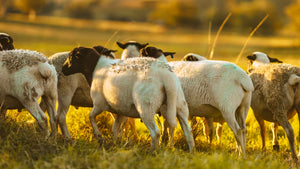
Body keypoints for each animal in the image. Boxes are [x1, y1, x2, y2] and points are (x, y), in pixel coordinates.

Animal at [62, 46, 196, 152]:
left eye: (71, 57)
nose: (63, 69)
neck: (95, 68)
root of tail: (166, 77)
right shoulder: (121, 110)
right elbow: (115, 129)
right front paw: (116, 144)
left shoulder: (99, 104)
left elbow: (91, 117)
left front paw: (99, 137)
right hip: (180, 104)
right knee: (188, 131)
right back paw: (191, 152)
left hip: (146, 106)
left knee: (155, 132)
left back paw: (153, 152)